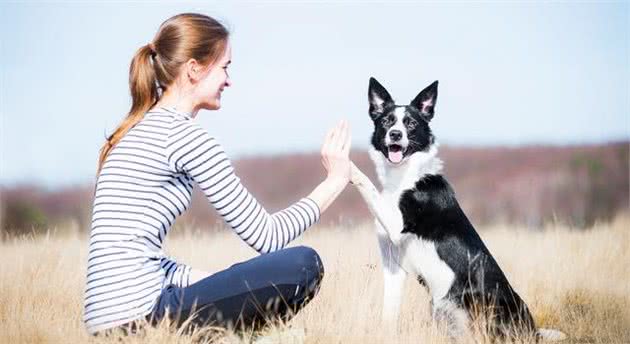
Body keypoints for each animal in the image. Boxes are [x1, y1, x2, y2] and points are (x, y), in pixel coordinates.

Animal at [350, 78, 568, 342]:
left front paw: (343, 162)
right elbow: (389, 312)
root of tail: (533, 332)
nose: (395, 134)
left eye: (410, 123)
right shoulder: (393, 265)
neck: (403, 177)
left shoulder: (395, 223)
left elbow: (367, 184)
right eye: (386, 122)